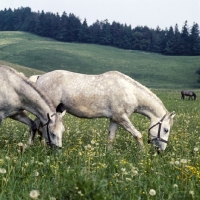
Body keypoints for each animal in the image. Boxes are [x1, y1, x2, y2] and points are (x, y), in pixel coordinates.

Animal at [29, 70, 175, 152]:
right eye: (166, 129)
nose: (161, 151)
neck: (130, 91)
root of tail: (41, 77)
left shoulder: (115, 119)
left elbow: (110, 138)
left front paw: (108, 155)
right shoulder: (122, 118)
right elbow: (137, 135)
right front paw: (143, 155)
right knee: (38, 126)